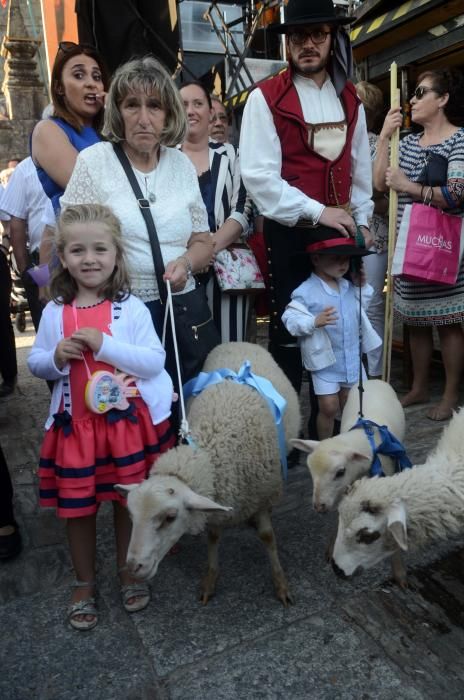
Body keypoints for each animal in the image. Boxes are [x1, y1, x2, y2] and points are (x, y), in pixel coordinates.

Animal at [116, 342, 300, 604]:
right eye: (131, 516)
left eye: (170, 517)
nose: (133, 567)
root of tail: (237, 342)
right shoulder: (215, 501)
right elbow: (213, 538)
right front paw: (210, 580)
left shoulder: (264, 492)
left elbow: (267, 537)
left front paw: (281, 583)